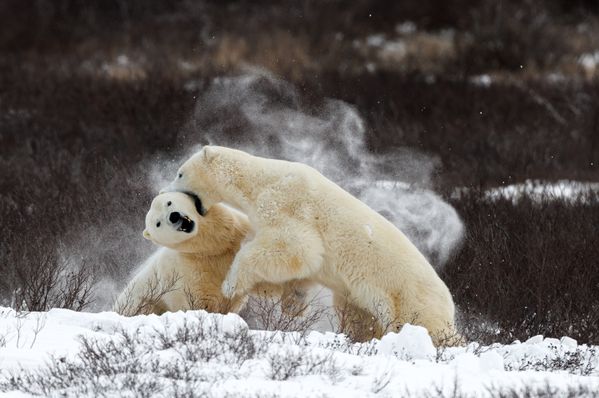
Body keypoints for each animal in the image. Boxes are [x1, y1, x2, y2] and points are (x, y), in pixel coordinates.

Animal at [113, 191, 312, 318]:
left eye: (169, 203)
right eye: (158, 223)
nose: (174, 216)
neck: (213, 248)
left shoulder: (238, 235)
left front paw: (294, 303)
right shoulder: (191, 272)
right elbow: (201, 302)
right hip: (143, 302)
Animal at [164, 146, 460, 346]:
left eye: (180, 173)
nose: (165, 191)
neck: (263, 179)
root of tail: (448, 299)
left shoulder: (287, 204)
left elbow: (298, 250)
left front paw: (230, 284)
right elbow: (301, 271)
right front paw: (292, 305)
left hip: (407, 297)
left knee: (425, 324)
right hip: (364, 299)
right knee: (360, 317)